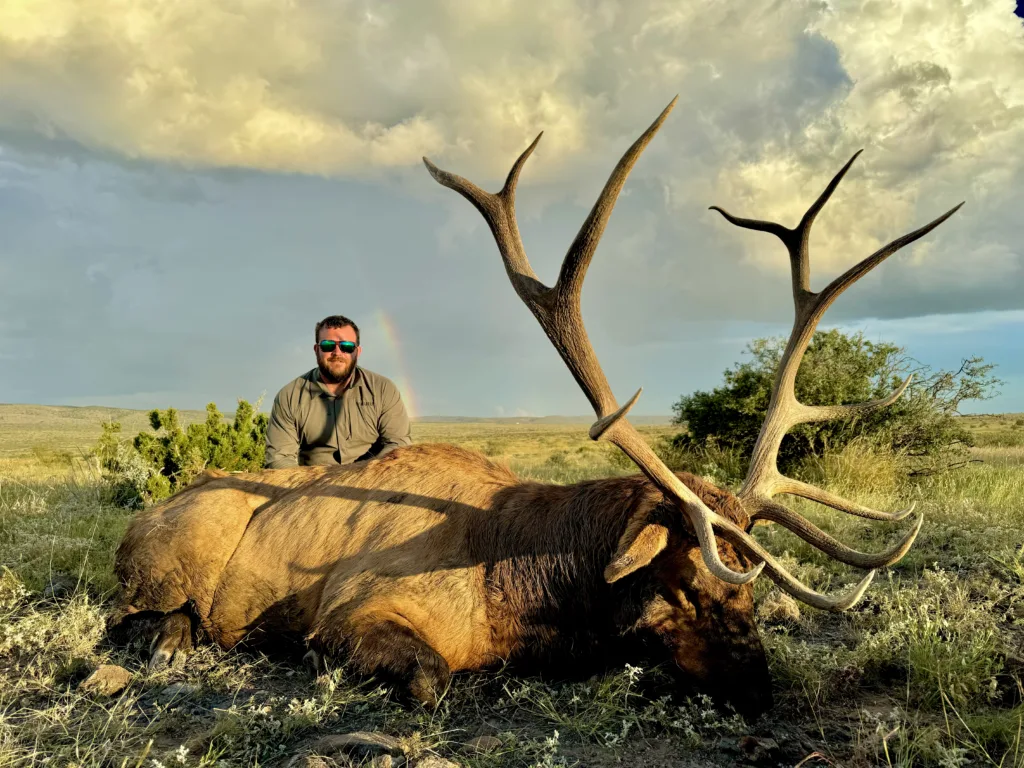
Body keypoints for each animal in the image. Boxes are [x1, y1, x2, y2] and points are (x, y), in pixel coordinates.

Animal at [108, 97, 961, 719]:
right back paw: (172, 641)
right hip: (170, 556)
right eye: (689, 586)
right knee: (138, 610)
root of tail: (141, 518)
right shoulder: (354, 604)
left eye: (751, 589)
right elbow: (427, 679)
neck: (517, 592)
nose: (762, 693)